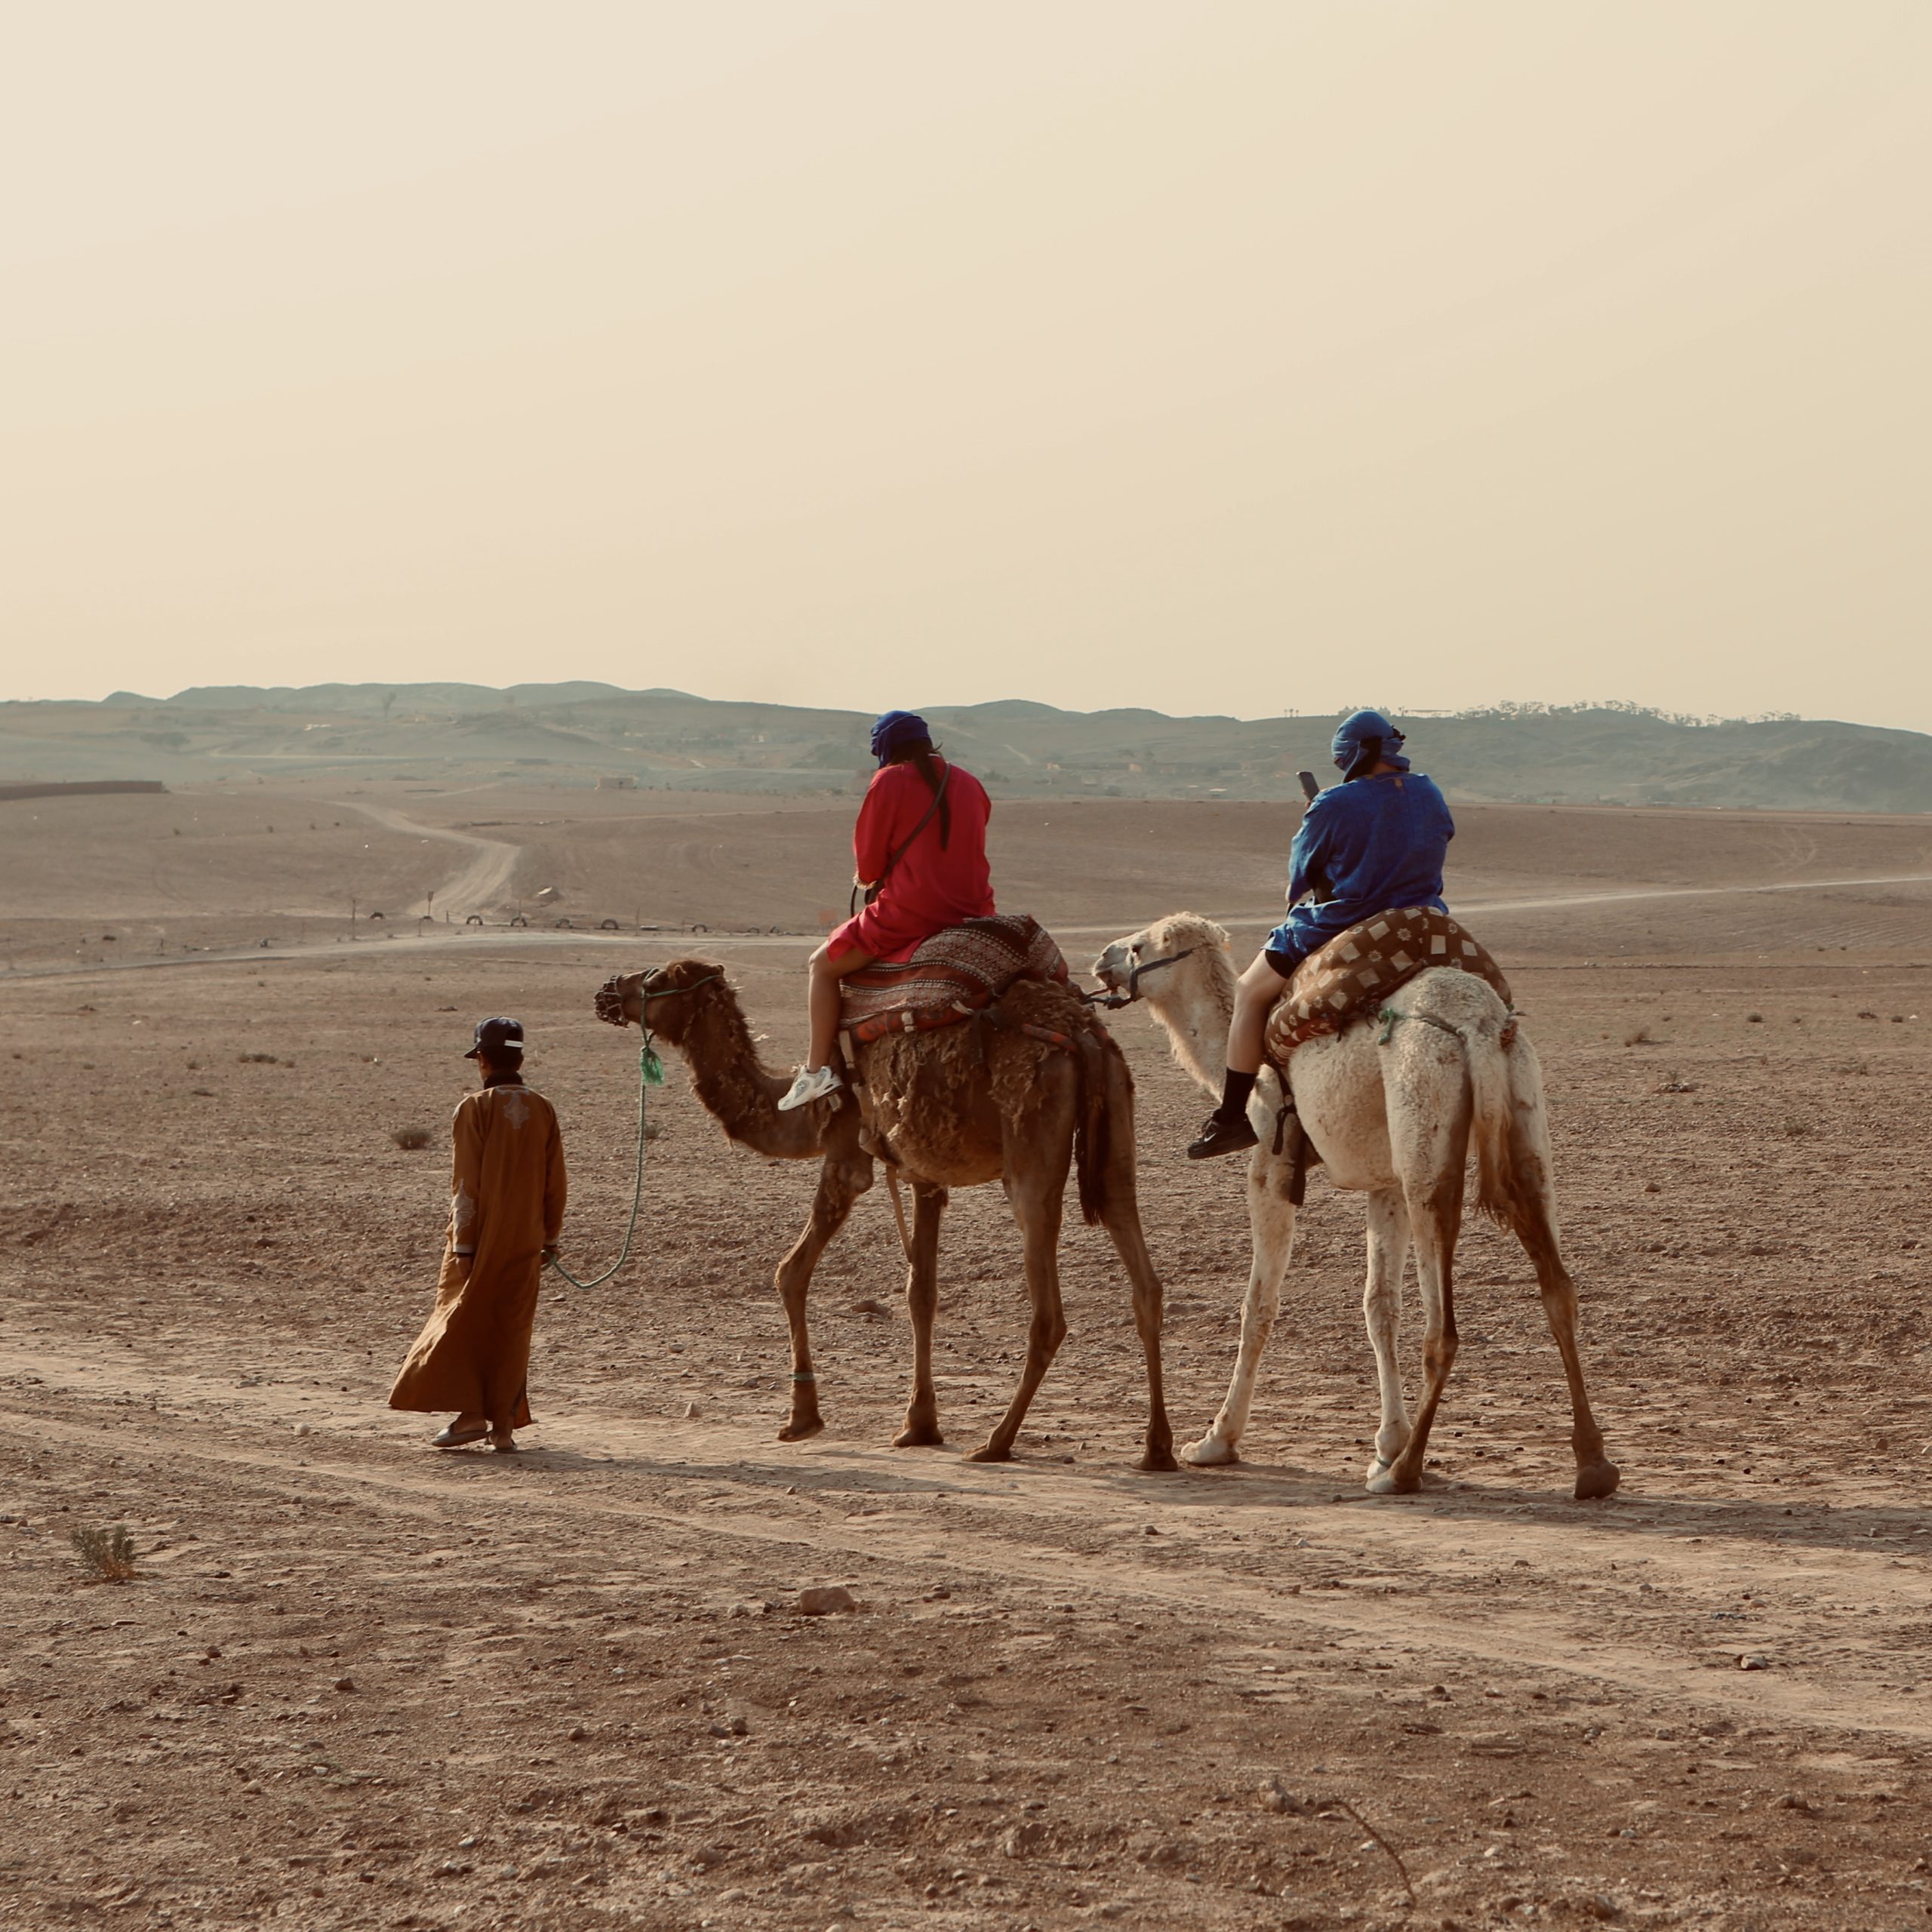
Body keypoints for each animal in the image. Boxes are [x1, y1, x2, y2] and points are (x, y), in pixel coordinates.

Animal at [594, 959, 1177, 1470]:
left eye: (658, 980)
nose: (607, 992)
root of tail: (1083, 1037)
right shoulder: (924, 1174)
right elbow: (921, 1294)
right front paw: (919, 1424)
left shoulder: (846, 1151)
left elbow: (790, 1273)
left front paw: (802, 1417)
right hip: (1116, 1127)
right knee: (1144, 1279)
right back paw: (1157, 1449)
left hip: (1030, 1155)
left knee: (1049, 1310)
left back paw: (997, 1442)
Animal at [1091, 913, 1618, 1501]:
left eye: (1140, 946)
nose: (1102, 959)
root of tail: (1478, 1024)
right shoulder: (1384, 1184)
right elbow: (1380, 1306)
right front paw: (1386, 1441)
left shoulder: (1272, 1165)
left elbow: (1258, 1306)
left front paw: (1216, 1441)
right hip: (1525, 1120)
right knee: (1559, 1291)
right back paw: (1593, 1466)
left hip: (1425, 1140)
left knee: (1443, 1327)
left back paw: (1405, 1472)